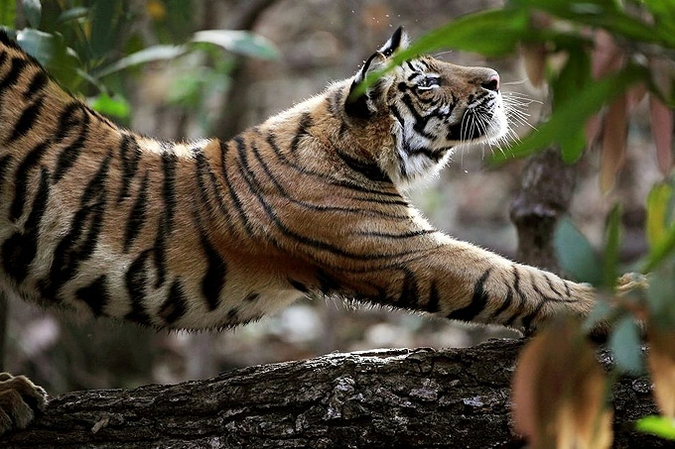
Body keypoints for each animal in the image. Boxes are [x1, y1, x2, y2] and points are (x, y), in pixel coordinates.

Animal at [0, 26, 596, 432]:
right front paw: (607, 301)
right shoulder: (401, 248)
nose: (494, 78)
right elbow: (513, 279)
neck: (354, 142)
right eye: (428, 82)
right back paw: (12, 398)